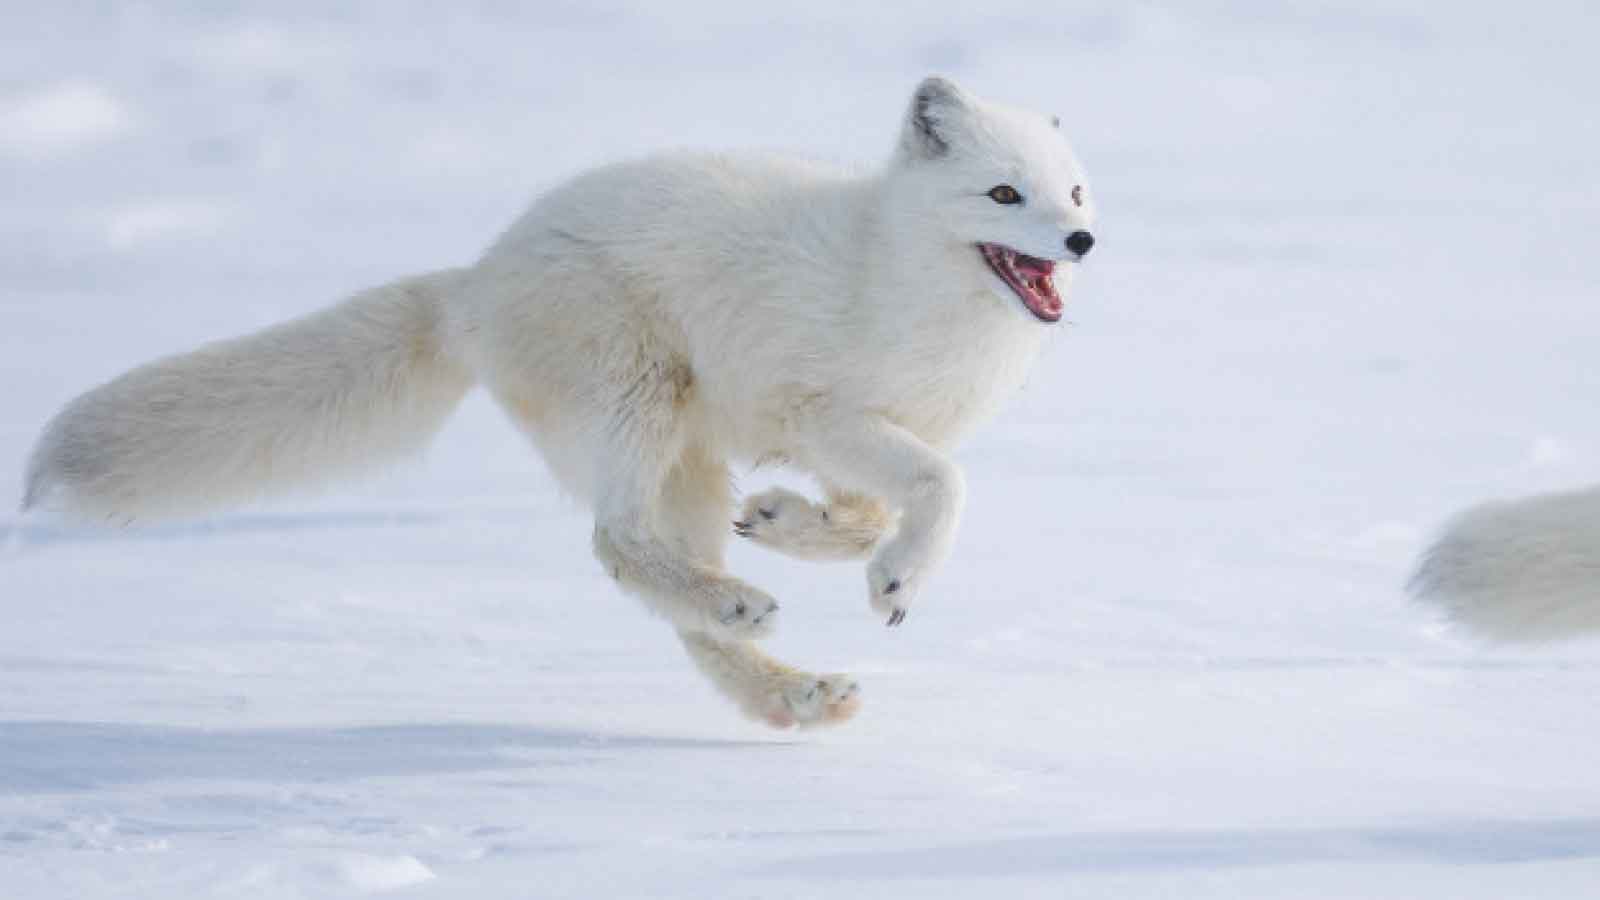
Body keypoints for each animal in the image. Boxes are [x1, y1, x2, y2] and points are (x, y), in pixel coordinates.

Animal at [21, 76, 1097, 728]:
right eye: (1004, 196)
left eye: (1076, 193)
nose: (1083, 242)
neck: (898, 277)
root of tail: (476, 279)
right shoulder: (821, 408)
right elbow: (942, 485)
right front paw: (898, 578)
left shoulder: (849, 438)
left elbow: (869, 508)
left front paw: (797, 524)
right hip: (635, 398)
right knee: (614, 546)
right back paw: (743, 610)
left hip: (686, 460)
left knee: (670, 603)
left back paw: (790, 691)